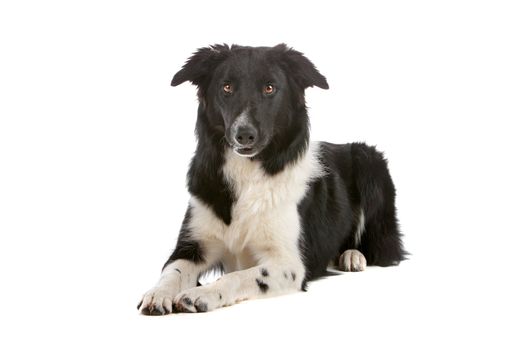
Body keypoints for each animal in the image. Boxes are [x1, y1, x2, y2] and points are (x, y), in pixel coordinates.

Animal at [136, 43, 406, 314]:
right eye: (226, 87)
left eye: (270, 88)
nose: (244, 134)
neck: (248, 172)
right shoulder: (192, 245)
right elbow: (172, 271)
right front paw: (158, 293)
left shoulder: (289, 264)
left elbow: (237, 276)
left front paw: (203, 293)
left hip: (368, 161)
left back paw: (353, 256)